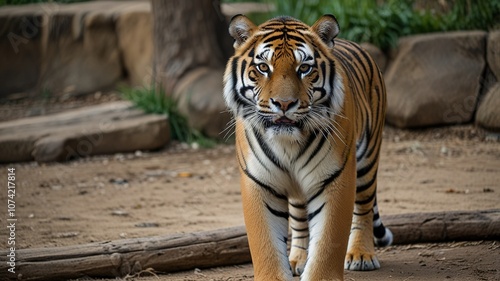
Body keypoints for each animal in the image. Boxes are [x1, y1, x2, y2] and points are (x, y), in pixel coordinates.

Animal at [224, 13, 394, 280]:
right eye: (263, 67)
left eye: (304, 68)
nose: (284, 104)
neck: (287, 144)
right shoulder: (260, 182)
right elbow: (265, 244)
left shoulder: (334, 178)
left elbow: (328, 241)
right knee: (299, 219)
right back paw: (298, 259)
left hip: (367, 159)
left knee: (364, 209)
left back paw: (361, 255)